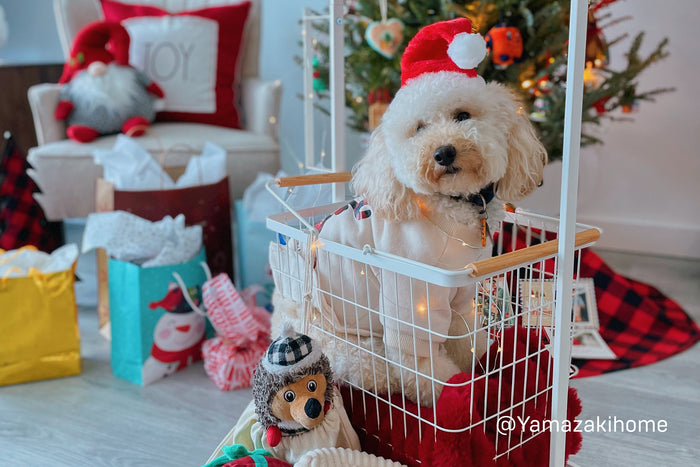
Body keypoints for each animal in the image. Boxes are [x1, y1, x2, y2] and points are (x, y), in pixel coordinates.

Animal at [270, 17, 548, 406]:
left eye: (463, 115)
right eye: (418, 129)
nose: (444, 152)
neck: (452, 208)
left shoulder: (461, 298)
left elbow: (468, 340)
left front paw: (480, 366)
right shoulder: (411, 302)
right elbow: (428, 369)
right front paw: (459, 395)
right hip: (352, 349)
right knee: (378, 371)